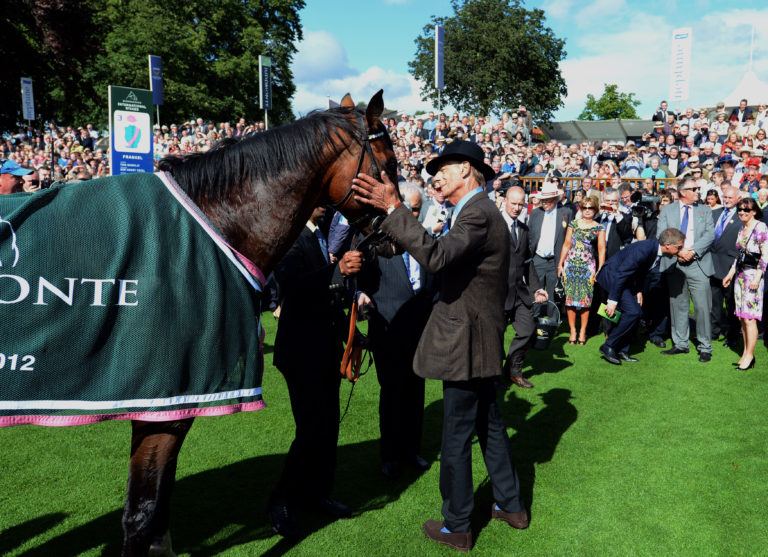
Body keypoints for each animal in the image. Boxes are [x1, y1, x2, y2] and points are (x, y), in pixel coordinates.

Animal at [5, 90, 397, 557]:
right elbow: (142, 512)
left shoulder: (174, 399)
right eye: (391, 163)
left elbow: (159, 507)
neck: (212, 226)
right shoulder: (162, 401)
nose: (393, 236)